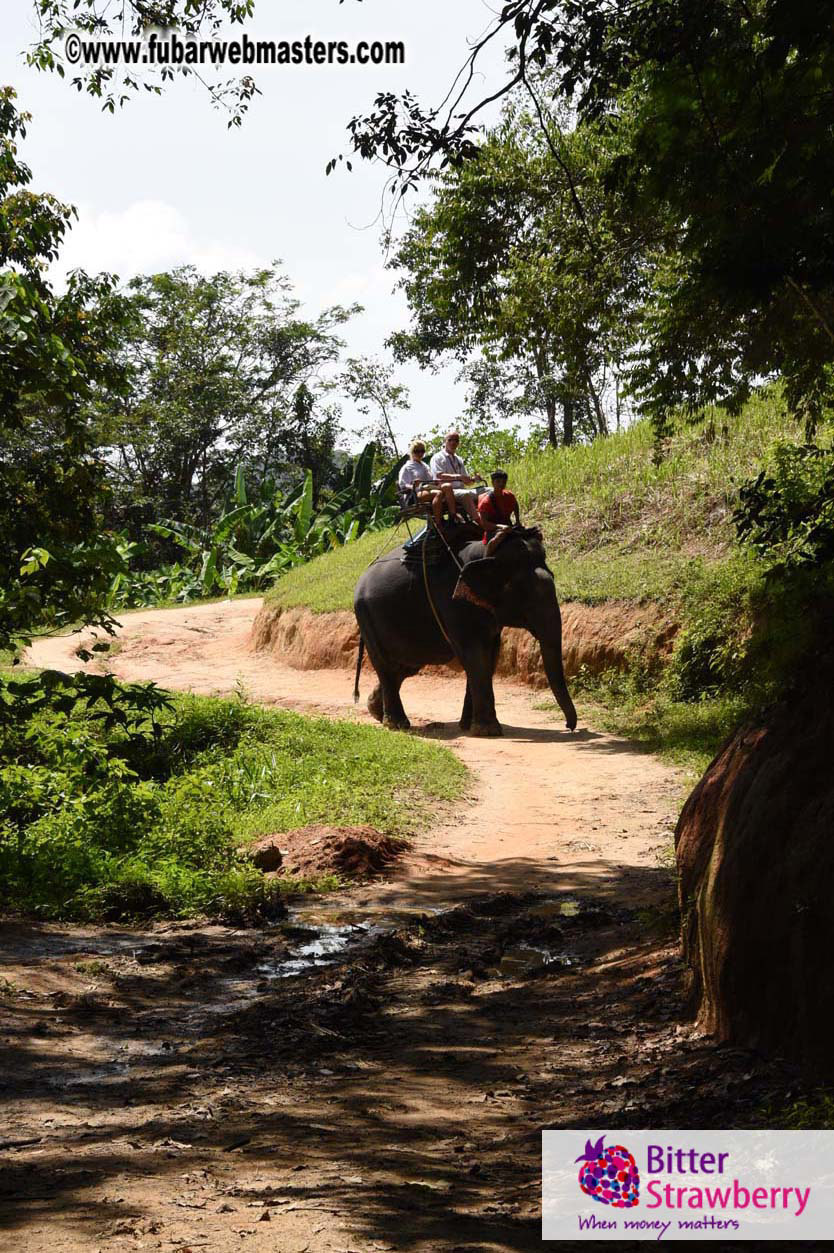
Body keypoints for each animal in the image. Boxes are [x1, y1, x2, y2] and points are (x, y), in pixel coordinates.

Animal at [353, 524, 577, 736]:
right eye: (524, 593)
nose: (569, 726)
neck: (485, 551)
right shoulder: (453, 603)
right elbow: (474, 655)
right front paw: (488, 731)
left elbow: (489, 656)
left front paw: (468, 726)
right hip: (366, 618)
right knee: (386, 666)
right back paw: (396, 724)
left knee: (404, 667)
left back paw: (376, 711)